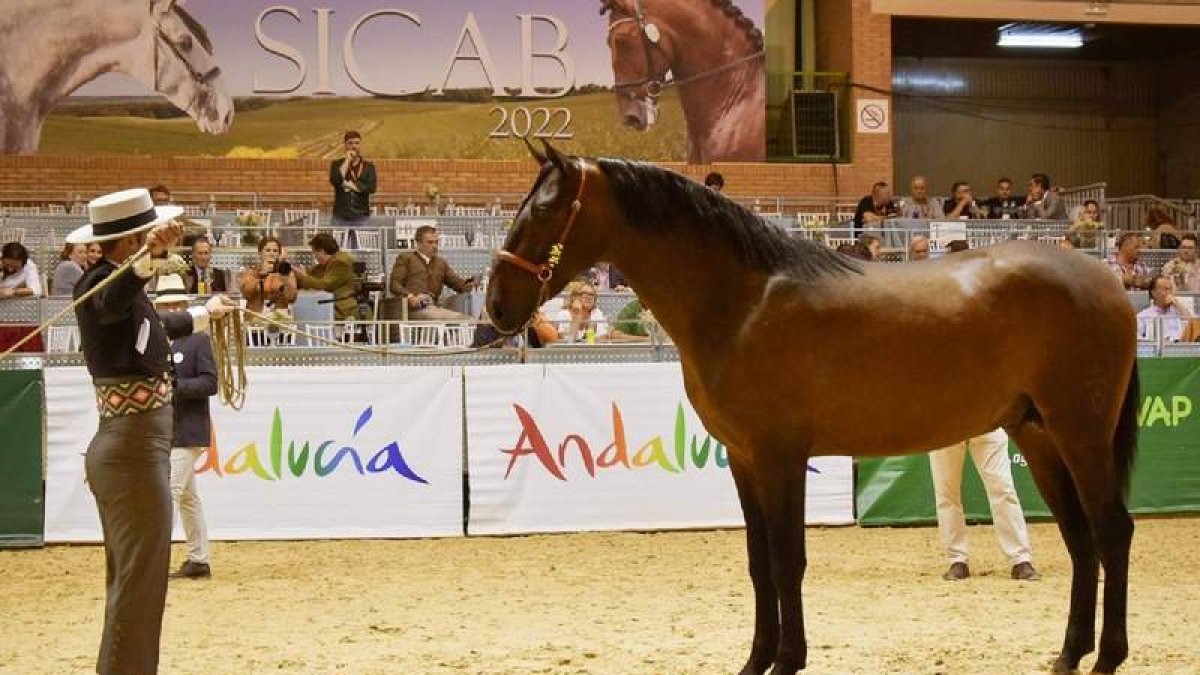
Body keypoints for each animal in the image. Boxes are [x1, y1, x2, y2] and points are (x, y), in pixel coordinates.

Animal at [487, 141, 1140, 675]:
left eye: (543, 211)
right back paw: (1068, 655)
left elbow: (786, 559)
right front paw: (756, 660)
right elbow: (759, 563)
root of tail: (1106, 280)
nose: (495, 305)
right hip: (1039, 435)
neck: (742, 301)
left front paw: (787, 660)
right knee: (1081, 539)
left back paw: (1107, 657)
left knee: (1111, 531)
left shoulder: (780, 456)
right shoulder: (744, 459)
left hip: (1080, 434)